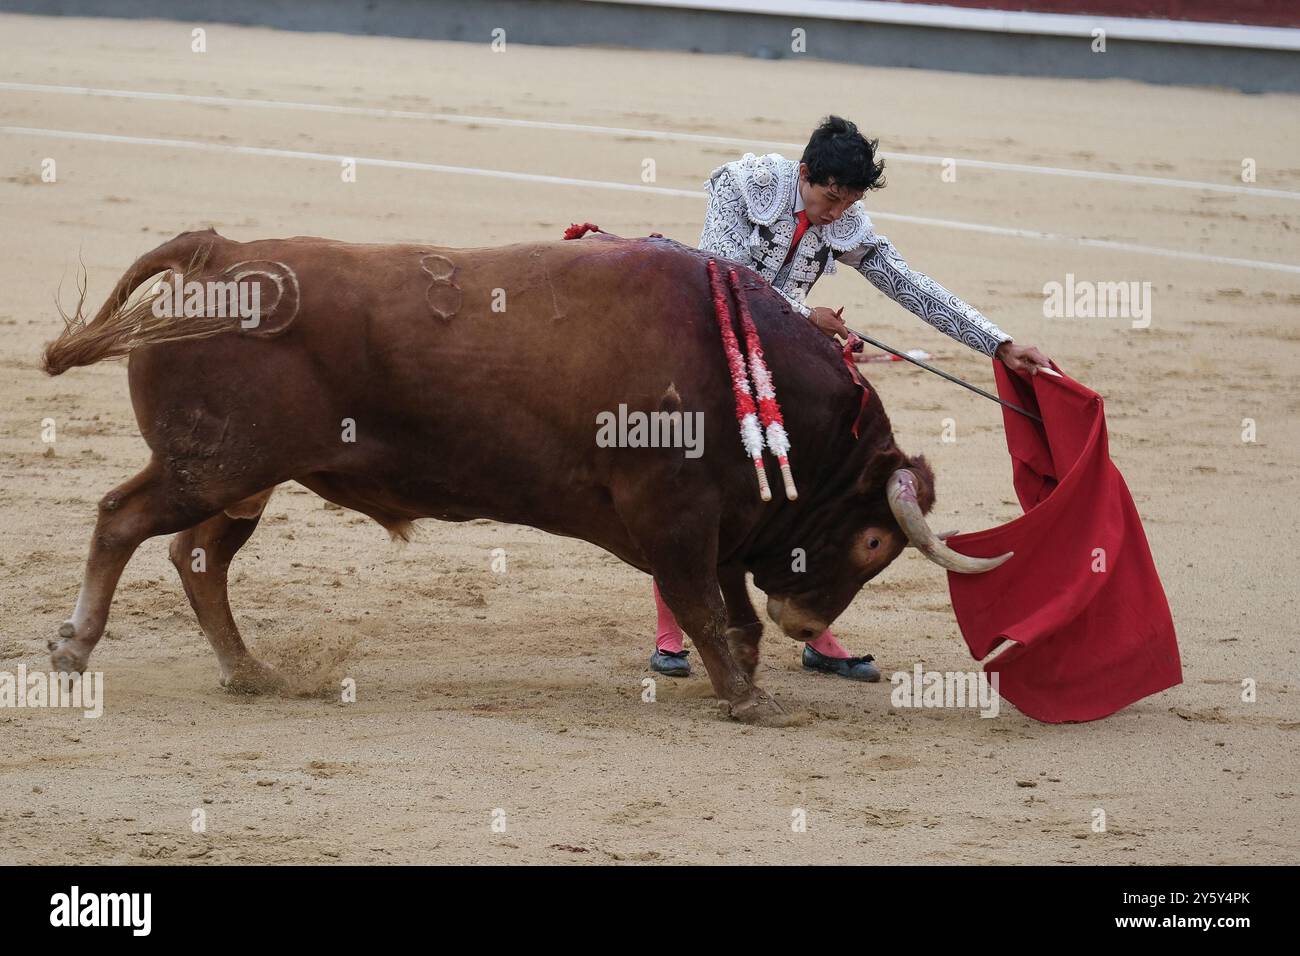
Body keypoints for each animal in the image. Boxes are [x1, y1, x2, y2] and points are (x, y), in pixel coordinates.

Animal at [43, 230, 1003, 723]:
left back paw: (252, 672)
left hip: (244, 478)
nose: (809, 621)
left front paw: (751, 681)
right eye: (874, 540)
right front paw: (747, 702)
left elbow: (730, 613)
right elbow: (703, 608)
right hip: (210, 467)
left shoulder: (721, 525)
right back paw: (73, 648)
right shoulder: (675, 518)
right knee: (121, 518)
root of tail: (218, 251)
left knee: (198, 558)